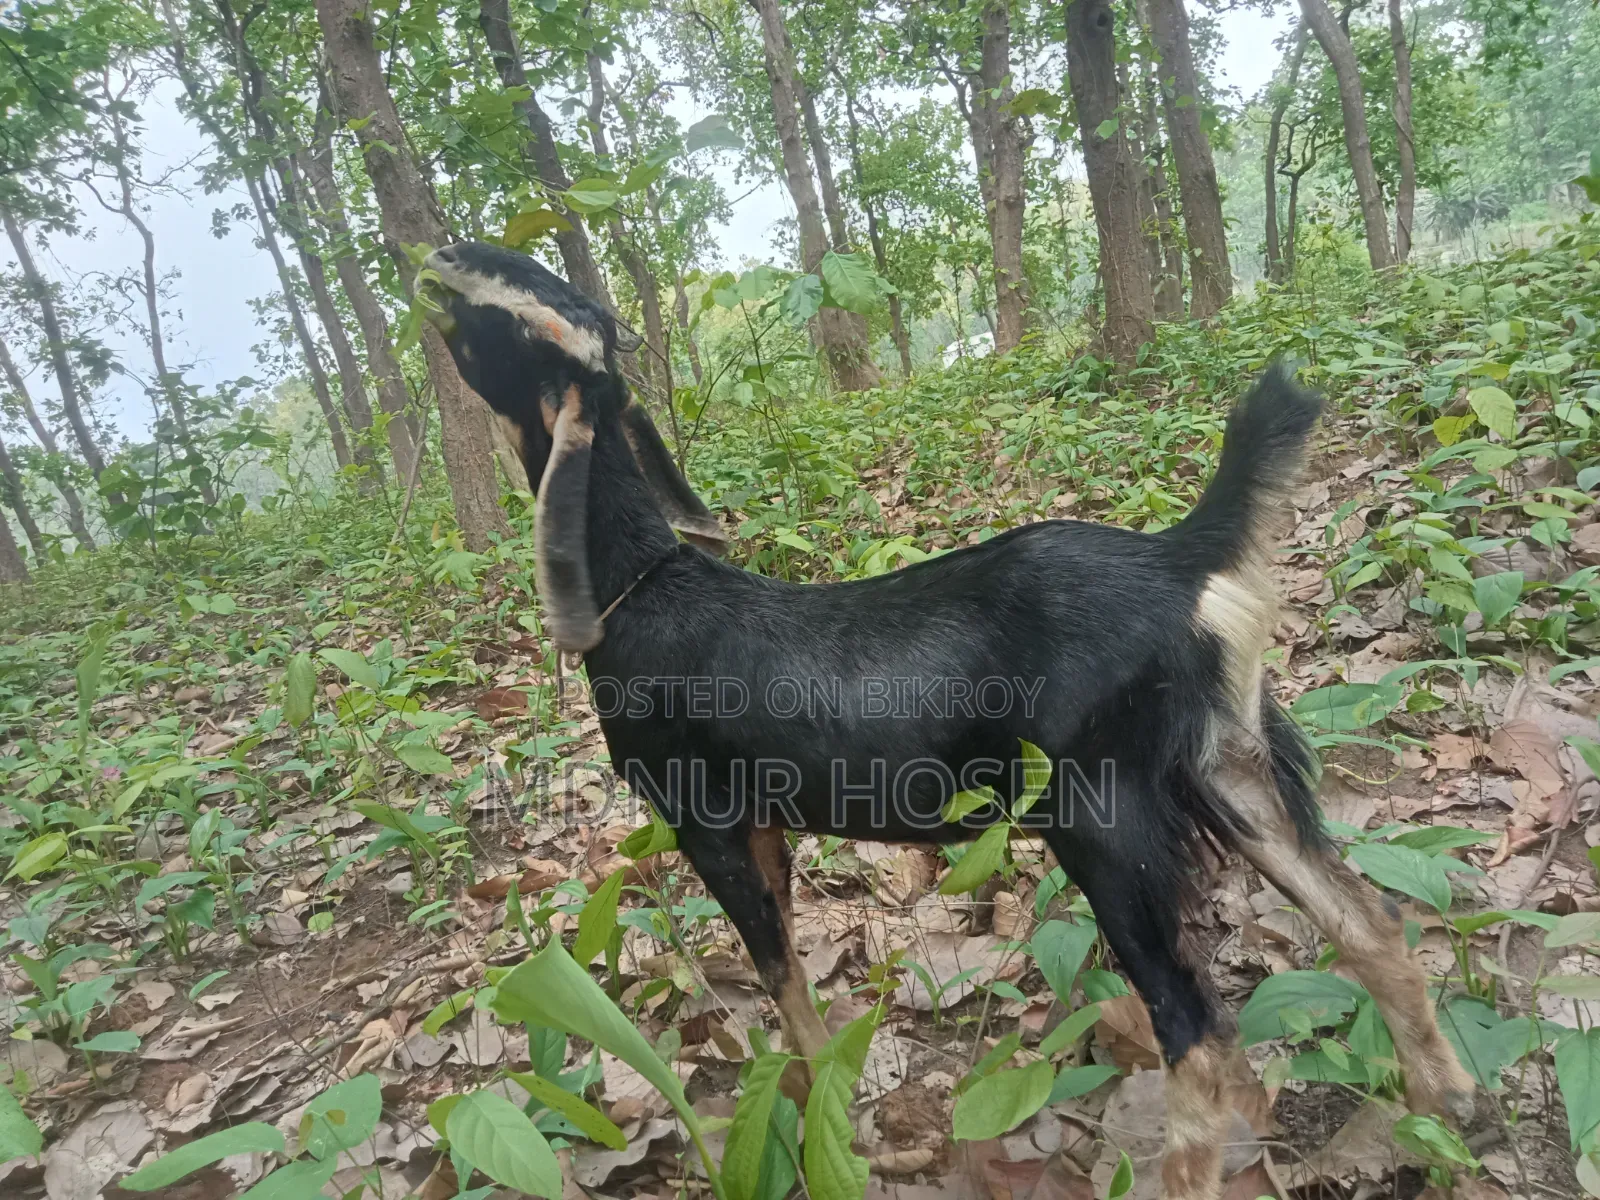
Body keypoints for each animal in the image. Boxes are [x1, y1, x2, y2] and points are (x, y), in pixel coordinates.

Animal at [421, 241, 1474, 1200]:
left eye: (515, 321)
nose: (443, 255)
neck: (642, 590)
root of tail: (1181, 562)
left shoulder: (706, 825)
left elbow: (782, 982)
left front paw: (824, 1132)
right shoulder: (766, 826)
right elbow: (793, 983)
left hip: (1101, 818)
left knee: (1202, 1034)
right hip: (1232, 766)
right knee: (1371, 923)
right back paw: (1445, 1111)